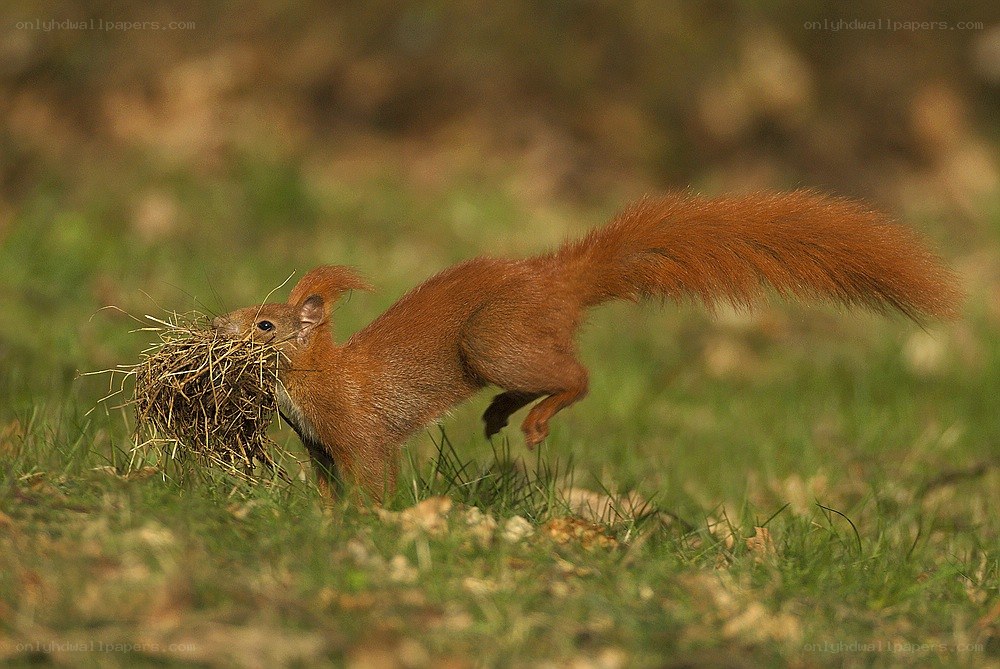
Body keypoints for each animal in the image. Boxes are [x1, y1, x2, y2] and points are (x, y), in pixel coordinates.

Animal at [212, 190, 962, 501]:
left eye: (265, 325)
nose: (219, 328)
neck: (312, 379)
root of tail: (555, 277)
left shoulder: (357, 430)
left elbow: (372, 477)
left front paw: (370, 519)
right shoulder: (316, 443)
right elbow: (324, 483)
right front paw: (321, 516)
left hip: (492, 336)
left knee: (578, 375)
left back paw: (535, 418)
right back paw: (502, 413)